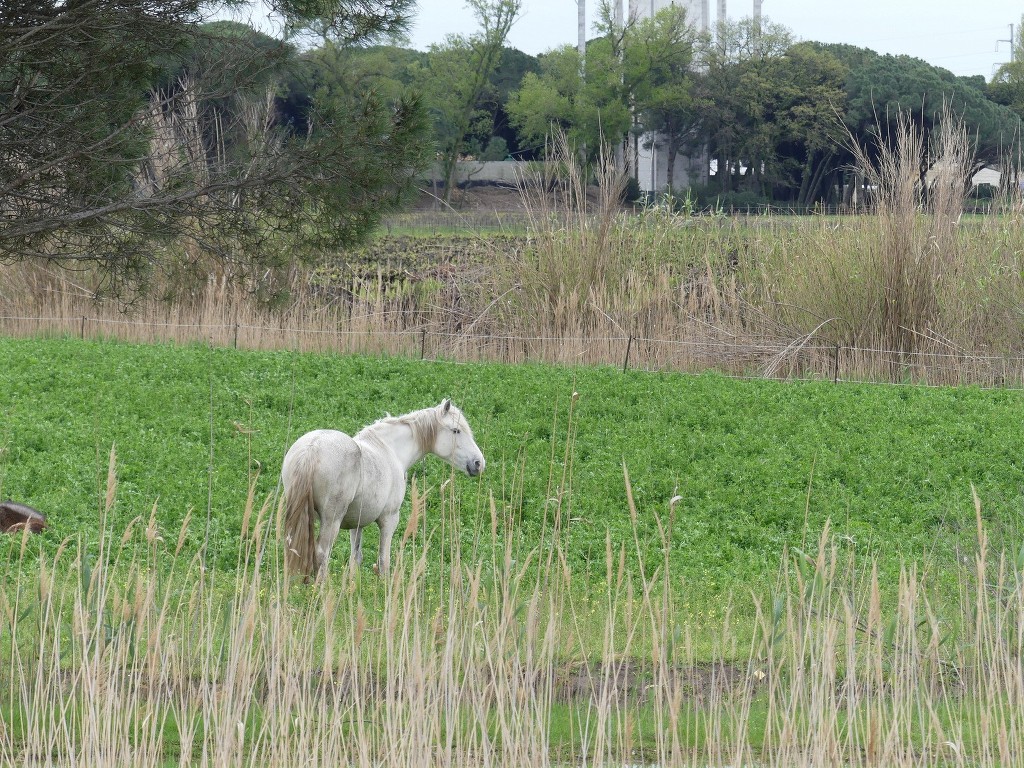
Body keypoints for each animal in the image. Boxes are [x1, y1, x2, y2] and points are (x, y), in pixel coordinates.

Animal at [282, 403, 485, 577]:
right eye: (456, 430)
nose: (478, 463)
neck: (390, 450)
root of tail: (311, 449)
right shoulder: (389, 519)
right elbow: (383, 561)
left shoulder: (356, 523)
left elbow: (355, 558)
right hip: (331, 521)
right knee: (322, 554)